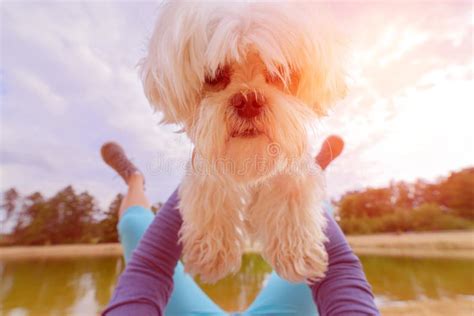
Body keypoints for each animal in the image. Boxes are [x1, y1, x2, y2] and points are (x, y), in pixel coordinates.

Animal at [140, 1, 344, 282]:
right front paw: (210, 254)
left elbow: (291, 203)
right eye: (214, 75)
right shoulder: (208, 169)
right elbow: (212, 198)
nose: (248, 100)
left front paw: (298, 255)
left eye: (279, 71)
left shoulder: (292, 174)